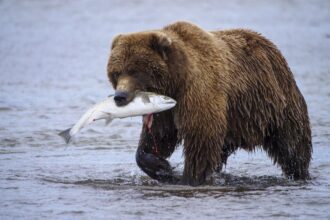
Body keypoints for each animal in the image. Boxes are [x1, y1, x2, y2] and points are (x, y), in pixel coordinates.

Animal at [106, 21, 312, 186]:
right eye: (116, 72)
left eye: (135, 71)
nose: (120, 96)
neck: (176, 81)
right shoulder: (164, 110)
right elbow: (158, 137)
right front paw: (163, 167)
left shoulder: (199, 93)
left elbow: (201, 139)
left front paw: (189, 178)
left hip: (277, 103)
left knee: (292, 144)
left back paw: (300, 174)